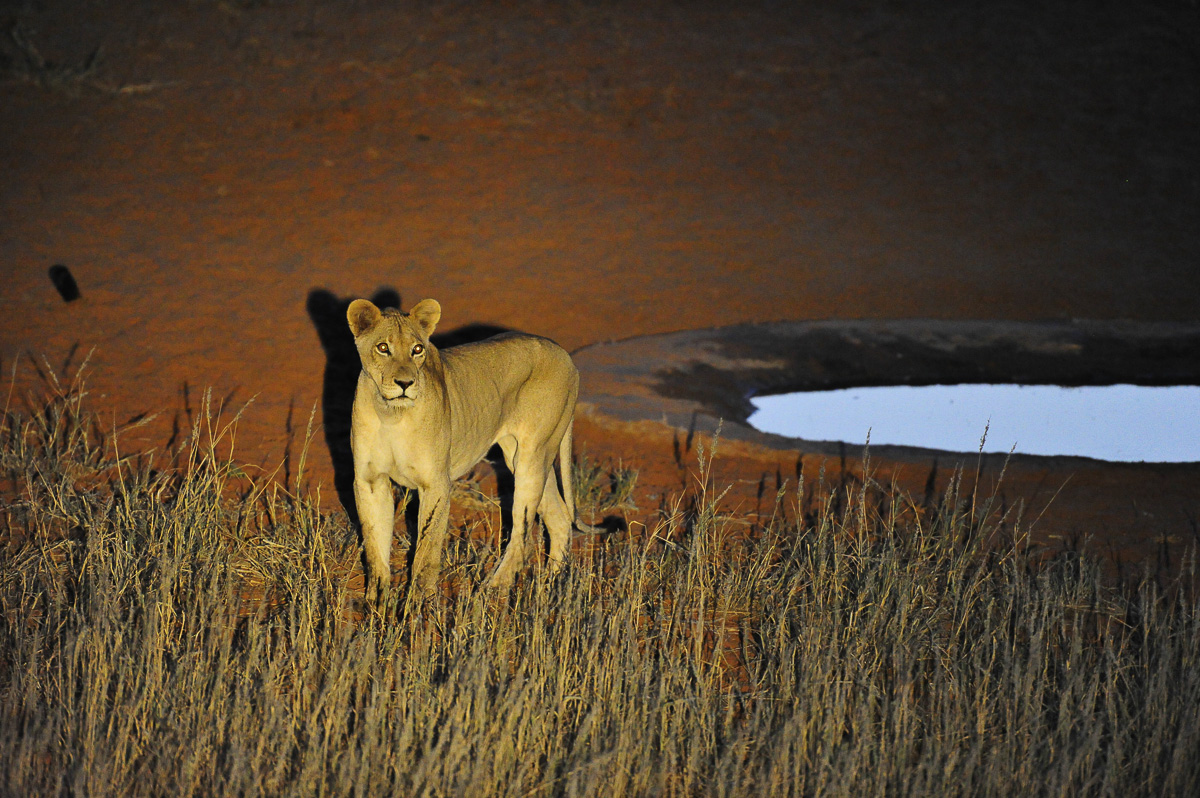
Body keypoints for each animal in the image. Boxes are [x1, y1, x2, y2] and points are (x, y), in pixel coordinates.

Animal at [347, 297, 586, 604]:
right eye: (383, 348)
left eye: (417, 349)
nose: (405, 384)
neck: (391, 414)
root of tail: (564, 354)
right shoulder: (370, 480)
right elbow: (375, 545)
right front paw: (376, 601)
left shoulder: (435, 483)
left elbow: (427, 549)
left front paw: (417, 603)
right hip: (522, 456)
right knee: (559, 518)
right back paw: (552, 587)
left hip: (533, 455)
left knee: (522, 533)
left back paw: (494, 590)